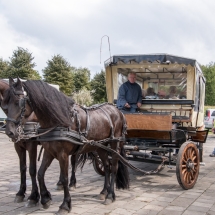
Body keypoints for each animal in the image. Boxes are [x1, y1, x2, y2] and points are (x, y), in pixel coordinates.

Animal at [2, 78, 129, 214]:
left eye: (17, 102)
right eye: (5, 104)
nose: (9, 131)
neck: (58, 120)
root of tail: (118, 111)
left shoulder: (60, 154)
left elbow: (64, 178)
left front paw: (65, 205)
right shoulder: (49, 151)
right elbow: (40, 173)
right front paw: (45, 198)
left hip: (114, 144)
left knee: (114, 167)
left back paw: (110, 195)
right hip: (100, 146)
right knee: (106, 166)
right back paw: (104, 192)